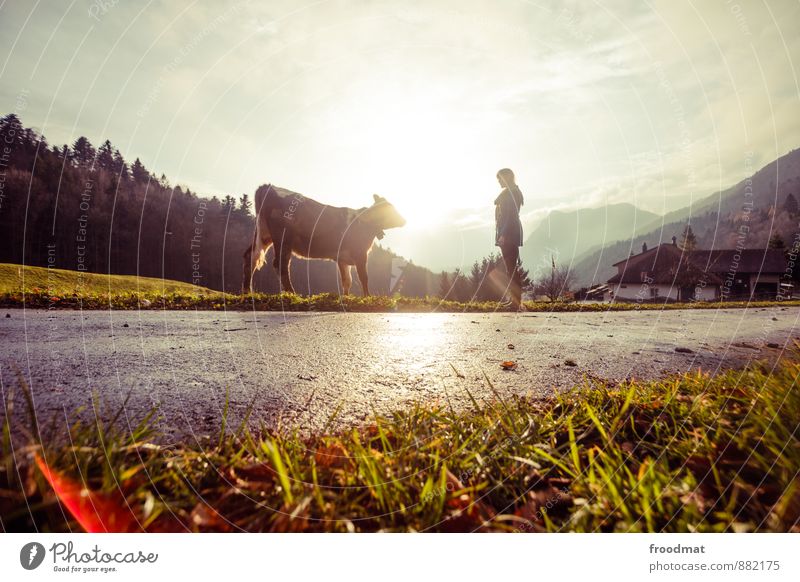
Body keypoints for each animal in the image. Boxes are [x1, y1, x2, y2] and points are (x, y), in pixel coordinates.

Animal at [241, 186, 406, 296]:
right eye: (390, 209)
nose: (404, 220)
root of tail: (268, 186)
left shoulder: (342, 259)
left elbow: (347, 280)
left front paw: (346, 298)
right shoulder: (360, 254)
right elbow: (363, 277)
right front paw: (367, 297)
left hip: (264, 235)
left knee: (251, 257)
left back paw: (247, 291)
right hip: (283, 238)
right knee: (280, 264)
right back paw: (293, 293)